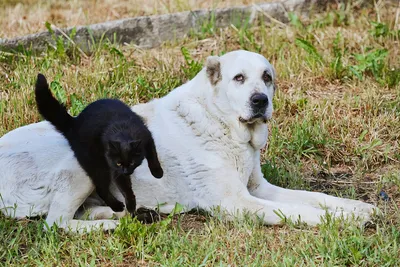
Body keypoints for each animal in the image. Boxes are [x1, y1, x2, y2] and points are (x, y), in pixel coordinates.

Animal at [34, 74, 162, 220]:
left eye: (132, 162)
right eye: (119, 163)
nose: (126, 171)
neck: (122, 129)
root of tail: (74, 125)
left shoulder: (146, 136)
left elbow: (152, 154)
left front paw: (158, 172)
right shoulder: (114, 168)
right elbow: (125, 189)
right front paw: (131, 206)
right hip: (96, 165)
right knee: (101, 188)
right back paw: (116, 206)